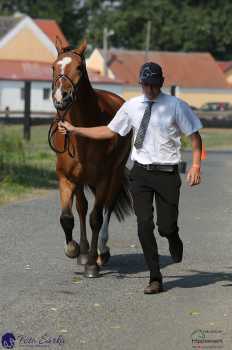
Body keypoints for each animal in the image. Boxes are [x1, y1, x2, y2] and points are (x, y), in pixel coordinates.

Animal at [49, 38, 132, 278]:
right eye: (54, 67)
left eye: (79, 67)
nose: (61, 97)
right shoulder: (66, 178)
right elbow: (67, 217)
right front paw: (74, 249)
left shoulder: (103, 179)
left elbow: (97, 218)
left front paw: (93, 266)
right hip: (80, 180)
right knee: (82, 208)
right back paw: (85, 252)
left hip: (115, 175)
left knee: (107, 208)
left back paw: (101, 252)